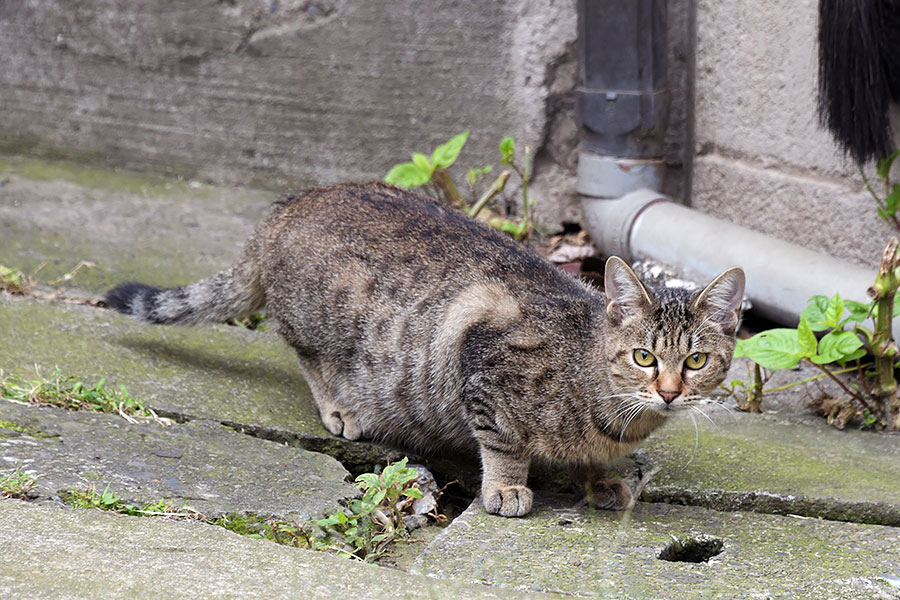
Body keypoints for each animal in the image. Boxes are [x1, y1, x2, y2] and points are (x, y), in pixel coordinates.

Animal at [109, 182, 744, 516]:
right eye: (643, 357)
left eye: (695, 361)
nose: (669, 392)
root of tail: (290, 204)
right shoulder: (481, 356)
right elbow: (503, 442)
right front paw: (508, 487)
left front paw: (599, 478)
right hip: (328, 318)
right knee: (303, 351)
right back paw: (342, 407)